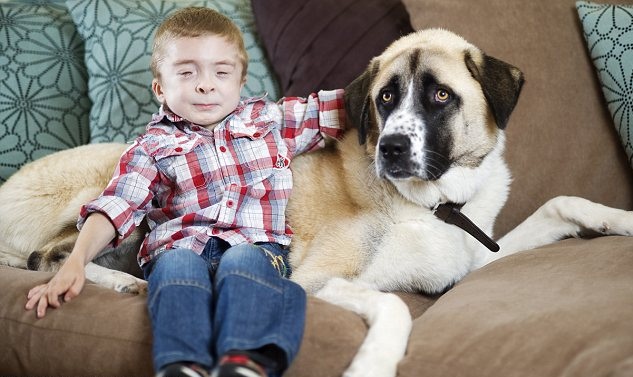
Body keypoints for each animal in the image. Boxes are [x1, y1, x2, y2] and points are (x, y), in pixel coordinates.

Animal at [1, 29, 632, 376]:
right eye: (385, 98)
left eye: (440, 96)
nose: (393, 148)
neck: (435, 205)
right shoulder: (316, 280)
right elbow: (395, 304)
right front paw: (373, 363)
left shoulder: (477, 258)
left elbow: (560, 203)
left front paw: (620, 218)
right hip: (121, 175)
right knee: (52, 257)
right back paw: (118, 281)